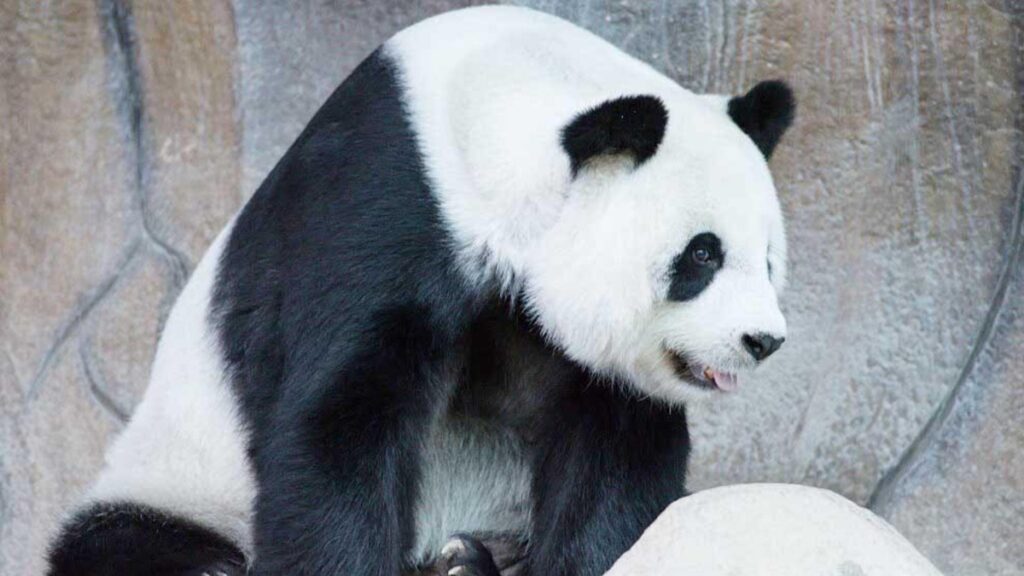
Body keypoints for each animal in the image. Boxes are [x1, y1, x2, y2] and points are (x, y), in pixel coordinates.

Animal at [47, 6, 794, 576]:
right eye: (702, 254)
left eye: (768, 262)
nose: (762, 341)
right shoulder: (380, 205)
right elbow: (338, 422)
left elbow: (614, 457)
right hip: (177, 476)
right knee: (123, 543)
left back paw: (468, 562)